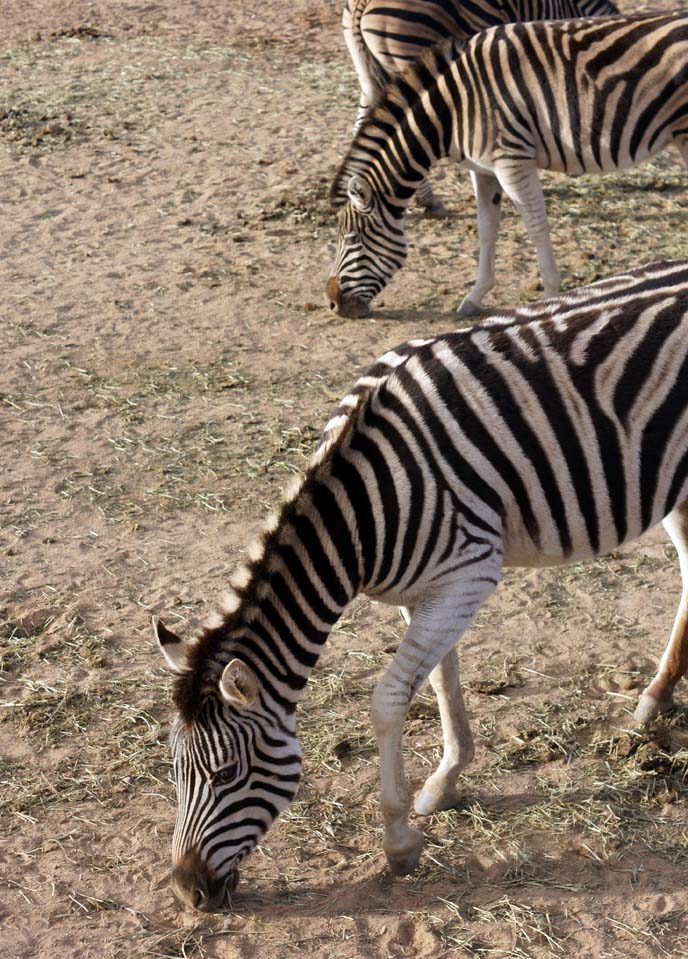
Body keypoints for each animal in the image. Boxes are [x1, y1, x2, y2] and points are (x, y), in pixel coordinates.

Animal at [156, 258, 688, 912]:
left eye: (226, 775)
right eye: (174, 773)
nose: (187, 893)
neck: (361, 514)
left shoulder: (470, 575)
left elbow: (389, 702)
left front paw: (400, 840)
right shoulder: (426, 589)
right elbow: (441, 681)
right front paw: (448, 780)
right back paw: (657, 695)